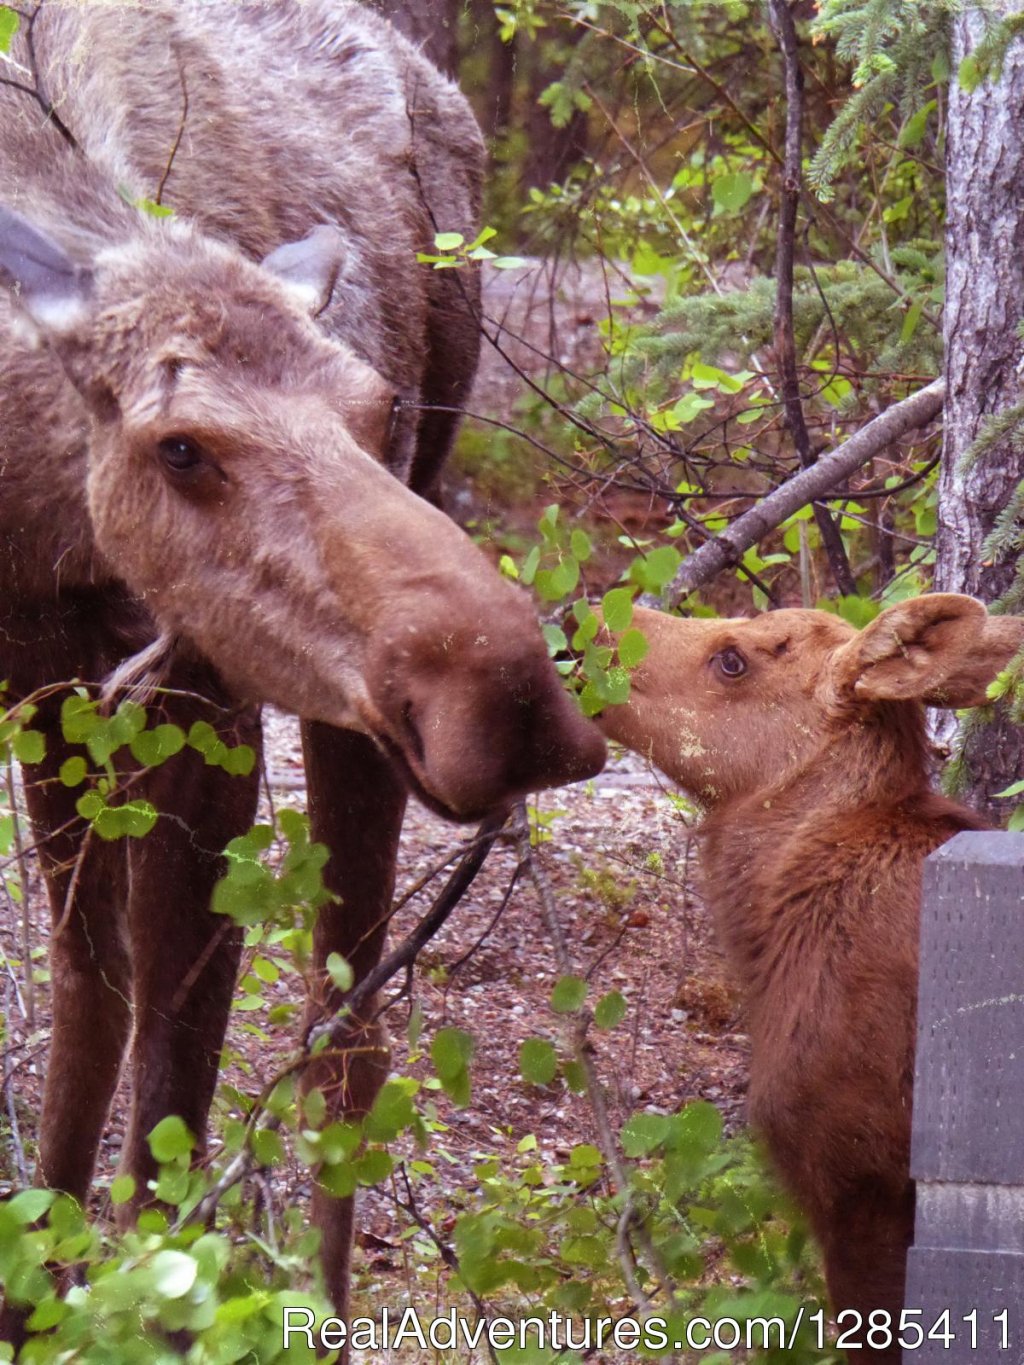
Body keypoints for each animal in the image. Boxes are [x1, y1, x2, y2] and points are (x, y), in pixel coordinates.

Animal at [0, 0, 608, 1332]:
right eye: (180, 446)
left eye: (372, 408)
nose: (516, 703)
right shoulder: (42, 681)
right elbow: (90, 996)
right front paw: (38, 1304)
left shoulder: (208, 694)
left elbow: (172, 1090)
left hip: (350, 716)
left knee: (348, 1031)